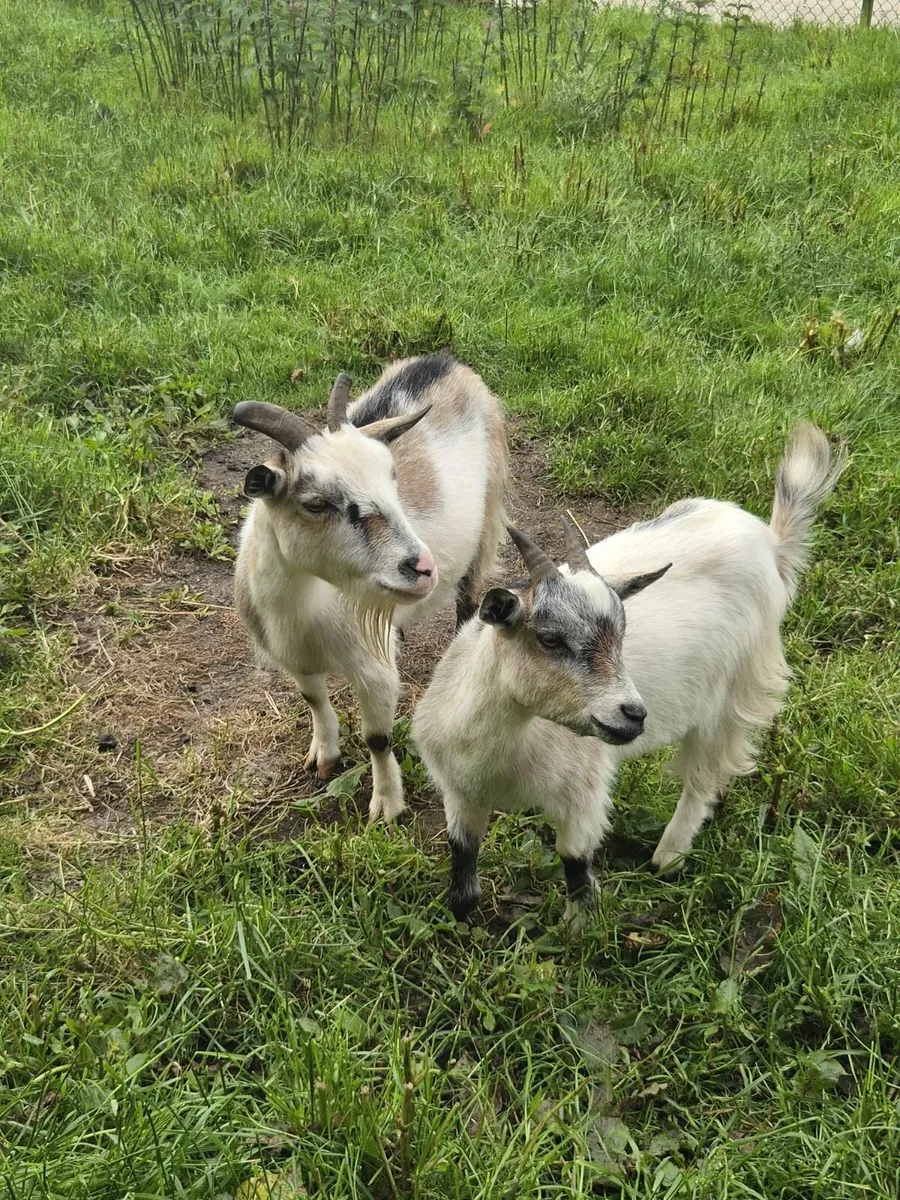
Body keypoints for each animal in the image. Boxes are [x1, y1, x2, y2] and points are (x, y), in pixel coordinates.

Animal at [233, 354, 508, 824]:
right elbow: (313, 701)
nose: (423, 568)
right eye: (316, 504)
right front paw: (324, 757)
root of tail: (444, 360)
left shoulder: (374, 674)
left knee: (469, 599)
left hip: (486, 520)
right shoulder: (295, 661)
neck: (303, 612)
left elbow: (377, 738)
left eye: (393, 478)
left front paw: (387, 806)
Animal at [412, 423, 843, 922]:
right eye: (550, 639)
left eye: (622, 634)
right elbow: (463, 874)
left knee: (704, 775)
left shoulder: (582, 796)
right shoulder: (459, 795)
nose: (634, 714)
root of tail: (770, 541)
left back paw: (667, 857)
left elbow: (577, 869)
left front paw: (578, 930)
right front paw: (460, 920)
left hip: (738, 691)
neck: (499, 752)